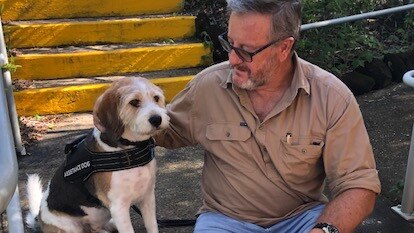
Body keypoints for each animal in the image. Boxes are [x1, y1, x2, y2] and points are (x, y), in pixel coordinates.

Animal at [25, 77, 170, 233]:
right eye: (134, 102)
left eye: (156, 98)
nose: (157, 119)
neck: (128, 148)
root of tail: (39, 218)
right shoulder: (119, 207)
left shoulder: (147, 198)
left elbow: (152, 226)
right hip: (71, 227)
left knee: (95, 228)